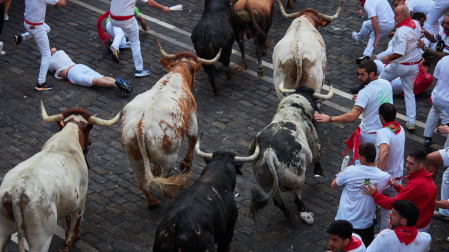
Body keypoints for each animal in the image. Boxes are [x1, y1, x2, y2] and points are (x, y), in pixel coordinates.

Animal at [0, 101, 120, 252]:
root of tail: (18, 189)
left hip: (3, 231)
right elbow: (73, 227)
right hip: (41, 239)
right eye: (89, 131)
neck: (68, 137)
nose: (90, 141)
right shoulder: (80, 201)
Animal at [120, 39, 221, 207]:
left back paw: (153, 202)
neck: (177, 73)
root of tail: (141, 127)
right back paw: (169, 192)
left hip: (134, 159)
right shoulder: (192, 117)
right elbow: (193, 138)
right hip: (169, 157)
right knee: (164, 179)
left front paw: (154, 168)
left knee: (143, 183)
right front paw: (186, 164)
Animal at [248, 83, 332, 225]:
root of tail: (269, 153)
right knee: (297, 199)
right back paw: (302, 209)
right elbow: (317, 155)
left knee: (278, 202)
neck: (292, 108)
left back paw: (288, 214)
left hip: (266, 183)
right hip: (298, 179)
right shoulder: (313, 140)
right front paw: (319, 171)